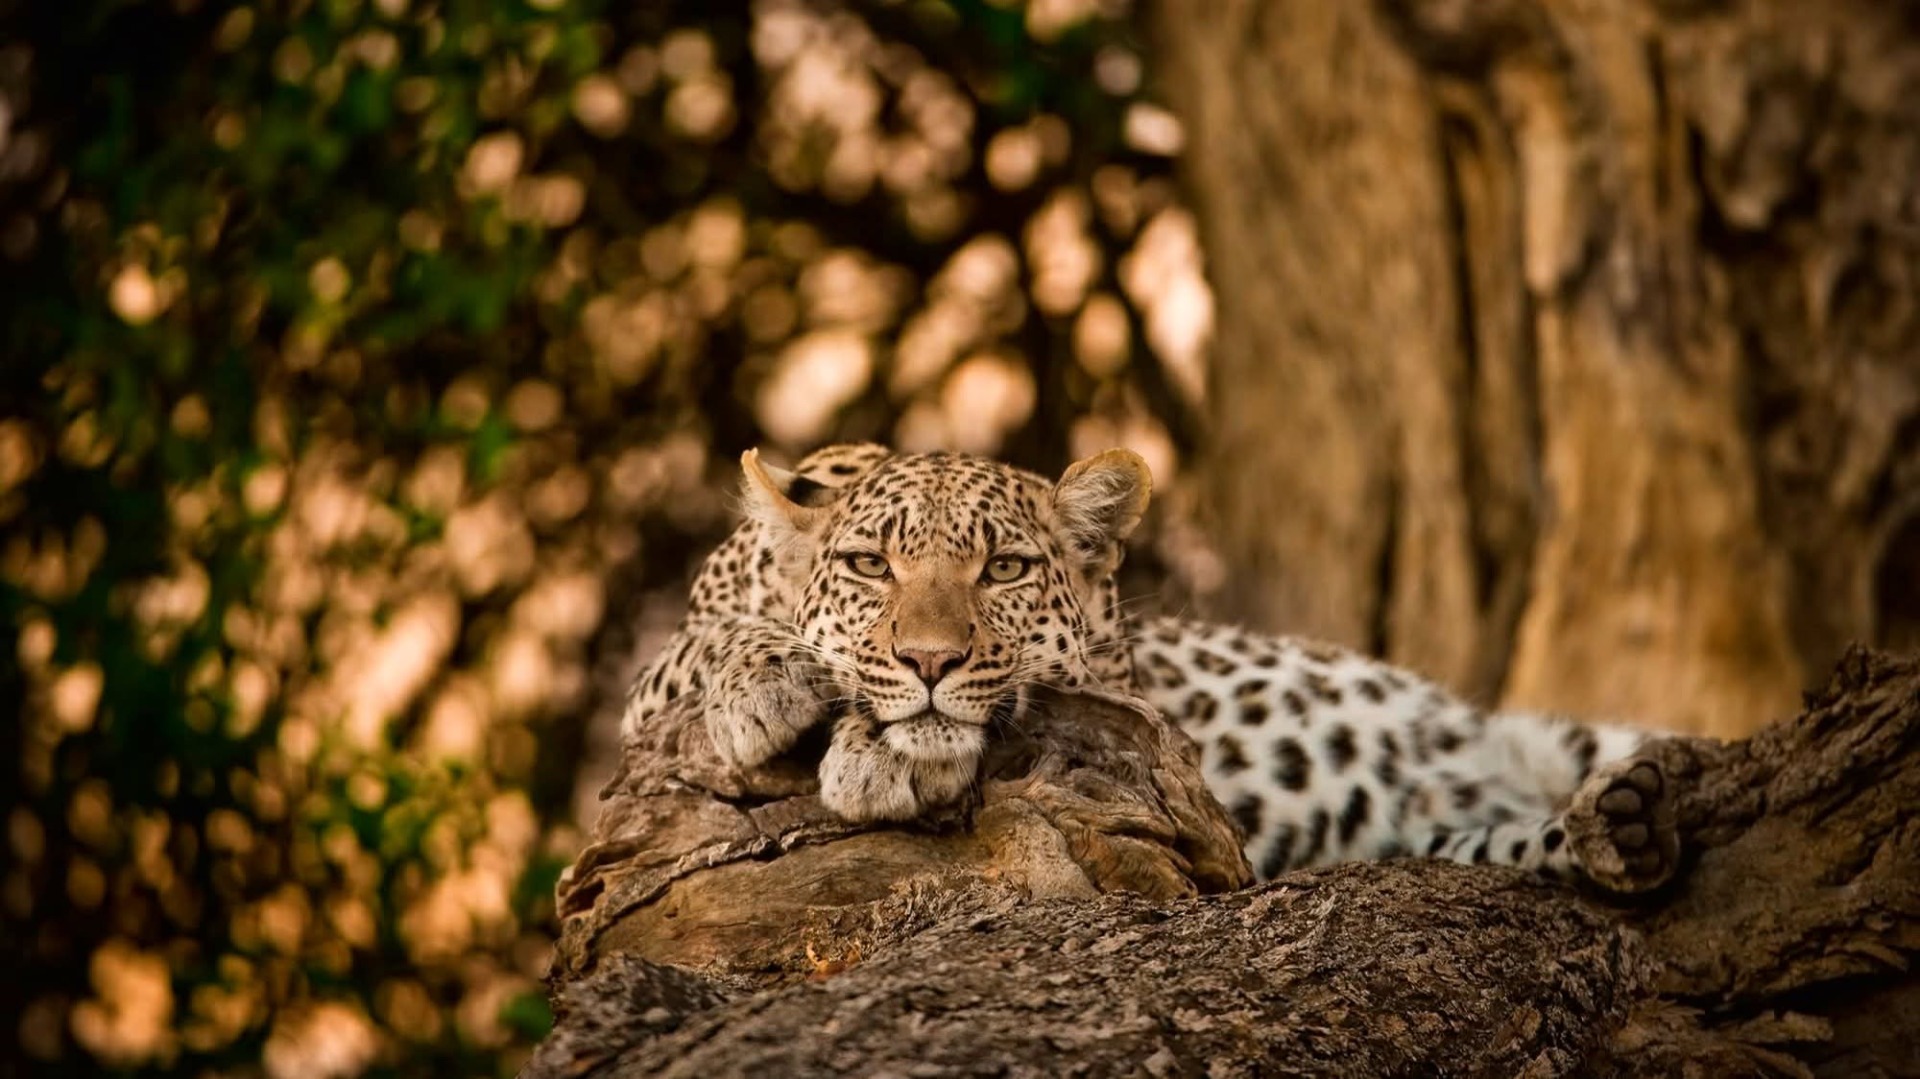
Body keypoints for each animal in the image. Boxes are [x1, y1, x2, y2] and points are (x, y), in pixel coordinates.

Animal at [622, 443, 1680, 893]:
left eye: (1003, 570)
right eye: (870, 565)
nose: (929, 658)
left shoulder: (1126, 702)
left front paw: (886, 748)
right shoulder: (650, 698)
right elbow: (692, 646)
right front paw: (768, 675)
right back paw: (1617, 826)